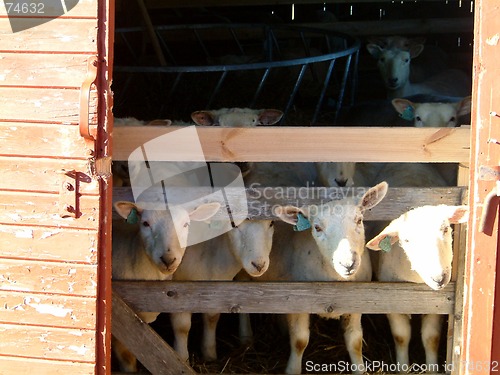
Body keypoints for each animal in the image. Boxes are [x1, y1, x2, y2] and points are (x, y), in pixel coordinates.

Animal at [170, 217, 276, 364]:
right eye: (233, 224)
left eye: (271, 223)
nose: (259, 265)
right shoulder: (178, 289)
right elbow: (182, 327)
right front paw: (181, 358)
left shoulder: (217, 287)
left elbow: (212, 318)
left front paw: (209, 354)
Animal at [252, 181, 388, 374]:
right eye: (317, 227)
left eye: (359, 220)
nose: (348, 263)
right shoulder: (296, 302)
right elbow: (299, 341)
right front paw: (292, 369)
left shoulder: (356, 303)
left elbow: (355, 341)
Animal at [368, 204, 468, 368]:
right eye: (406, 240)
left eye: (446, 229)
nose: (439, 278)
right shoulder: (390, 303)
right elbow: (401, 337)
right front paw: (403, 368)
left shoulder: (436, 306)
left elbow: (431, 338)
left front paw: (432, 369)